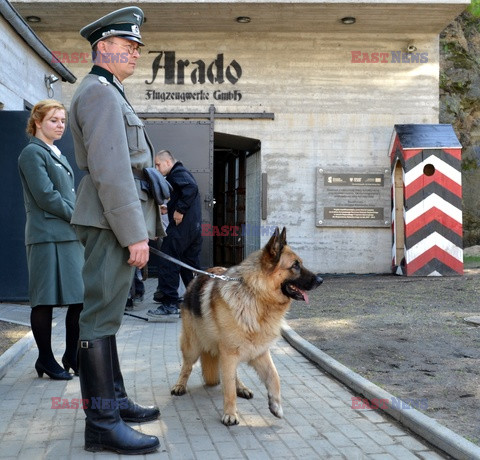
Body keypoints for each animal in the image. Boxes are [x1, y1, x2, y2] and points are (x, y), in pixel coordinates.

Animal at [171, 228, 324, 426]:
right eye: (295, 266)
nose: (321, 280)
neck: (255, 295)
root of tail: (197, 278)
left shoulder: (259, 352)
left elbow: (274, 377)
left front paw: (276, 405)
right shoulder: (229, 354)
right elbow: (228, 388)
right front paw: (230, 414)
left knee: (233, 375)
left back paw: (241, 388)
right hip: (193, 345)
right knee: (187, 366)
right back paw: (180, 385)